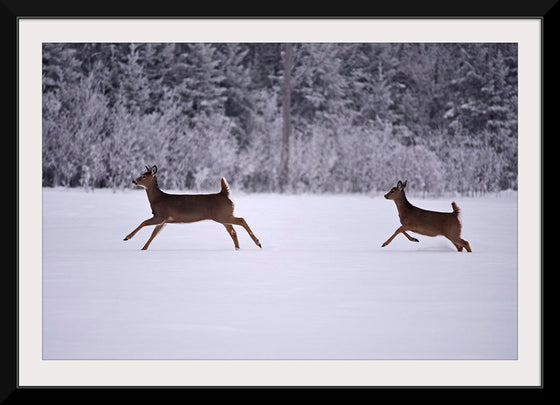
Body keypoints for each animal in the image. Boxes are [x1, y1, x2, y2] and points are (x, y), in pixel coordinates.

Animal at [123, 164, 262, 249]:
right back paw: (238, 249)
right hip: (224, 215)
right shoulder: (164, 220)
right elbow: (153, 234)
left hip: (222, 215)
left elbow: (144, 222)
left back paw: (258, 242)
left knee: (241, 220)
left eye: (143, 176)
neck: (157, 199)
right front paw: (143, 249)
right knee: (233, 231)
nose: (133, 181)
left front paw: (127, 237)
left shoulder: (160, 215)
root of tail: (224, 194)